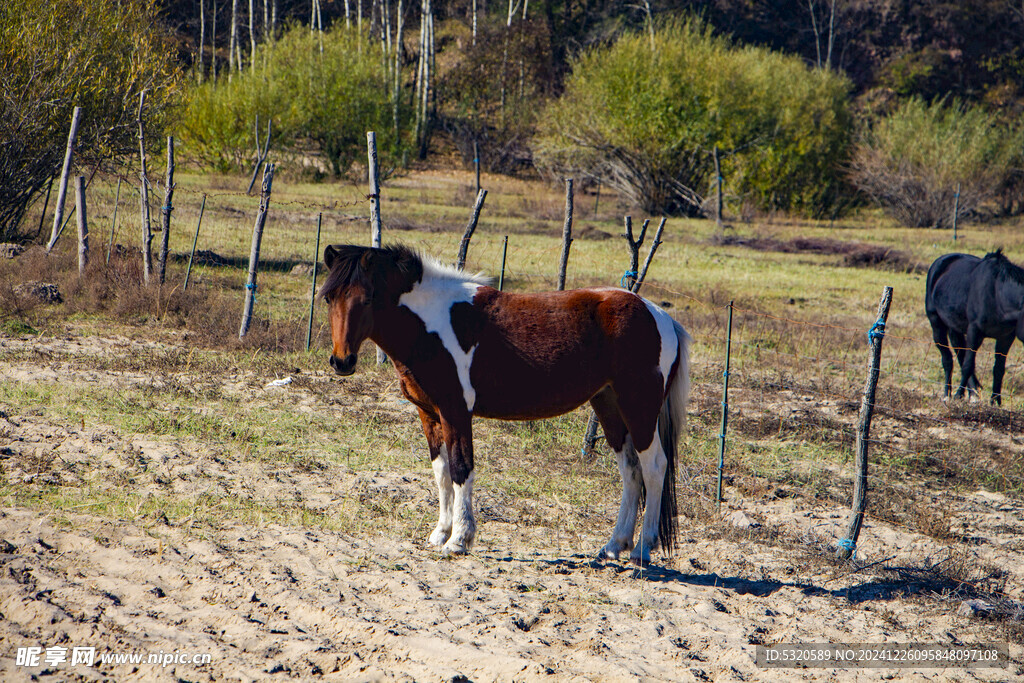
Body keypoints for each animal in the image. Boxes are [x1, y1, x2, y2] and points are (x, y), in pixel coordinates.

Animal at [319, 244, 692, 565]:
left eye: (367, 298)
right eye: (329, 297)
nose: (342, 361)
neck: (431, 322)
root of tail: (660, 315)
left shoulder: (456, 412)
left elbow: (461, 469)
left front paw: (459, 540)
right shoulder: (429, 415)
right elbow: (441, 473)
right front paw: (440, 534)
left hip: (638, 408)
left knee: (654, 467)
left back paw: (642, 549)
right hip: (609, 406)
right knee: (630, 471)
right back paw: (614, 546)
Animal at [925, 252, 1024, 405]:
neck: (997, 295)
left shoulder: (1005, 338)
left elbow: (998, 369)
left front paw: (996, 401)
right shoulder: (974, 331)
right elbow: (968, 365)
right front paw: (958, 394)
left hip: (955, 328)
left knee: (960, 354)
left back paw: (972, 395)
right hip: (936, 324)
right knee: (948, 359)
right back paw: (947, 394)